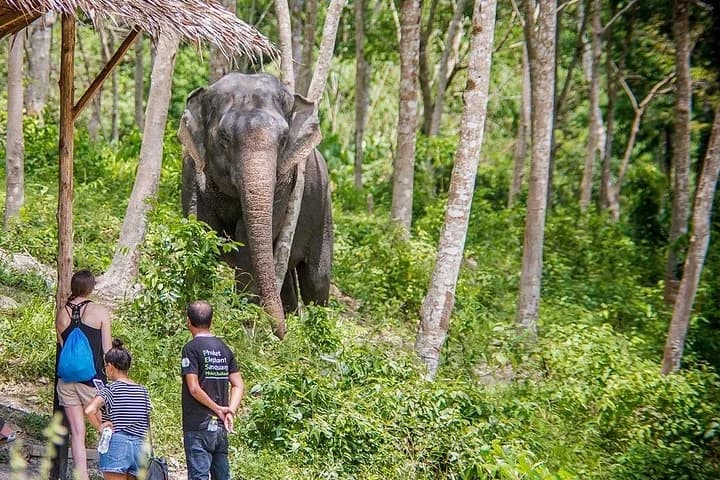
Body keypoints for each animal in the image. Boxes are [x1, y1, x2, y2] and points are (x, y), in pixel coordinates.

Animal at [178, 73, 333, 339]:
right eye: (224, 138)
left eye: (284, 139)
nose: (280, 335)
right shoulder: (191, 167)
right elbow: (200, 231)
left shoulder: (284, 184)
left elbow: (247, 245)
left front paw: (244, 328)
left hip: (323, 209)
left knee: (317, 278)